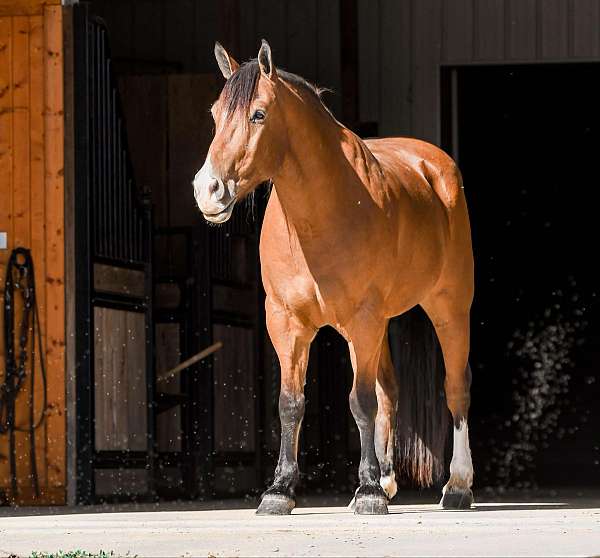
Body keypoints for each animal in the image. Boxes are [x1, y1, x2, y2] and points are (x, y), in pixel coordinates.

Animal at [195, 40, 476, 516]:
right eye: (215, 114)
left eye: (258, 114)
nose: (207, 190)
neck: (323, 216)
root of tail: (436, 168)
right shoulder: (287, 323)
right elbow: (291, 404)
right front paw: (280, 490)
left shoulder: (363, 321)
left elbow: (359, 402)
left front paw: (367, 492)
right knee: (389, 392)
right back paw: (388, 478)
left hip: (448, 309)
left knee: (456, 388)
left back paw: (457, 486)